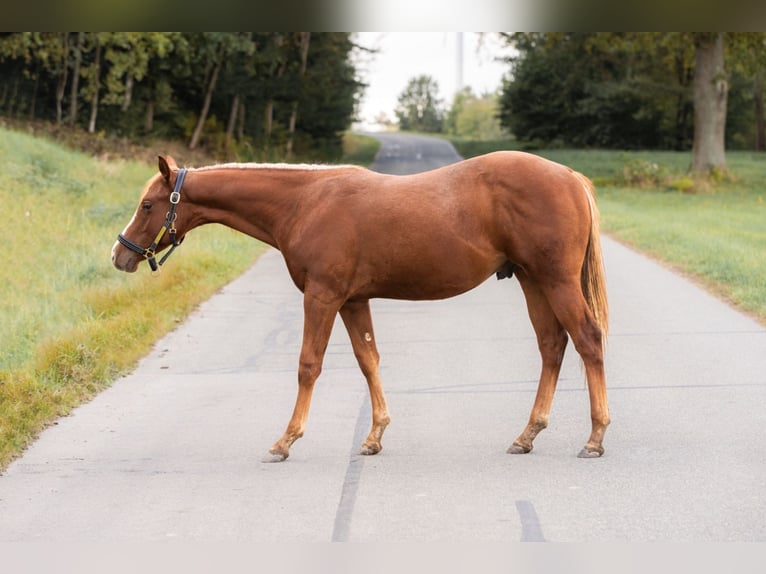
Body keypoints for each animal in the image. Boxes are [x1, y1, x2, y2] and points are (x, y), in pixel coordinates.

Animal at [112, 153, 612, 464]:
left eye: (147, 204)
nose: (120, 255)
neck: (305, 202)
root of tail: (570, 177)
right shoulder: (353, 301)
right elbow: (368, 360)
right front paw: (374, 437)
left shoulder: (323, 297)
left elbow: (308, 365)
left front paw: (285, 441)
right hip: (532, 280)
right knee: (552, 345)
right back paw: (528, 435)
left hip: (555, 280)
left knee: (587, 340)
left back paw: (595, 438)